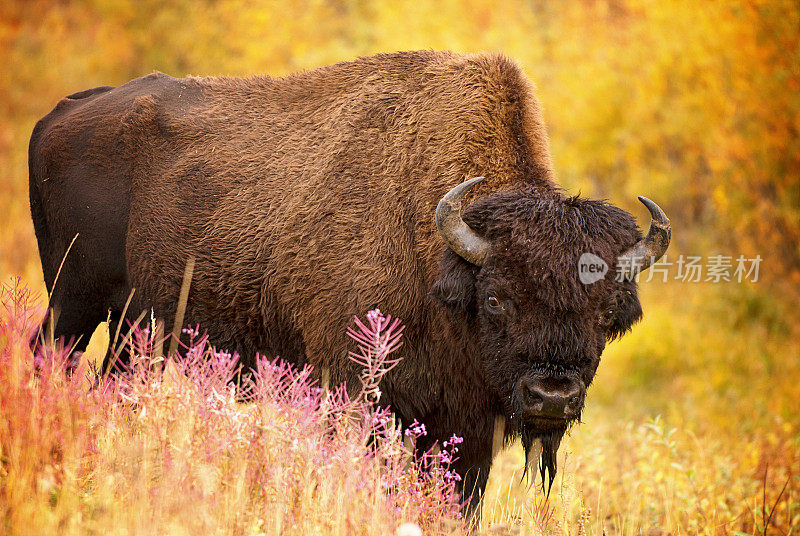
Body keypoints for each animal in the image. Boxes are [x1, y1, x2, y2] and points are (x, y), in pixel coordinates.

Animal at [29, 50, 668, 516]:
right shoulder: (353, 388)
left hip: (133, 323)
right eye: (496, 298)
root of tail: (61, 113)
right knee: (50, 356)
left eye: (606, 314)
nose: (552, 397)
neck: (438, 251)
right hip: (74, 300)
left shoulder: (466, 424)